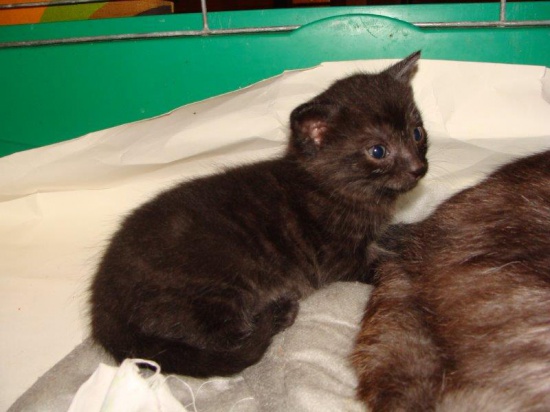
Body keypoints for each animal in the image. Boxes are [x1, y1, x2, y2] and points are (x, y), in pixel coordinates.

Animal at [90, 51, 428, 378]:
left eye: (417, 133)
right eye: (378, 151)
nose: (419, 168)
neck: (333, 189)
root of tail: (102, 311)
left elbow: (393, 236)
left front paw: (415, 230)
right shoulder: (340, 259)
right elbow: (384, 263)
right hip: (217, 283)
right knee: (229, 341)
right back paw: (277, 314)